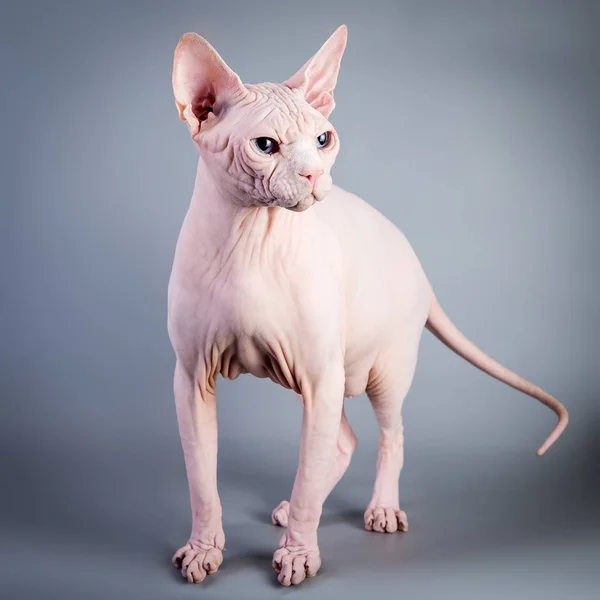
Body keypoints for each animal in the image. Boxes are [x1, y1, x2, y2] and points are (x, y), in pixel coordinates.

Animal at [168, 24, 568, 584]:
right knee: (341, 442)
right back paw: (298, 507)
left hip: (381, 369)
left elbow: (317, 463)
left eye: (324, 139)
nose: (315, 176)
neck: (250, 238)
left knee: (389, 435)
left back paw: (378, 508)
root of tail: (415, 261)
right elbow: (202, 481)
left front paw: (299, 554)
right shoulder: (192, 377)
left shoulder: (319, 373)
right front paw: (204, 549)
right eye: (265, 145)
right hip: (322, 375)